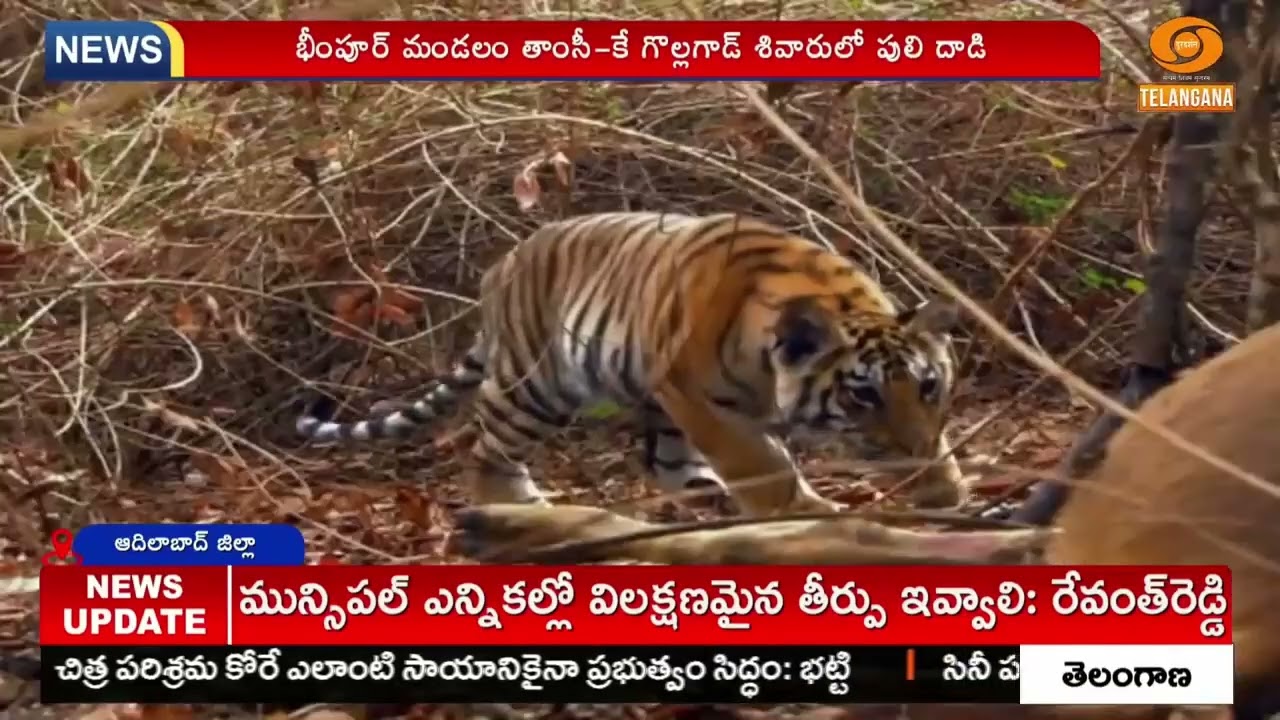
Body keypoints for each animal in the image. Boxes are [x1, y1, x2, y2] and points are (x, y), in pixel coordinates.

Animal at [295, 211, 968, 516]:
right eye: (862, 395)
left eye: (929, 386)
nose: (910, 451)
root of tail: (501, 266)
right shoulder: (703, 402)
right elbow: (763, 466)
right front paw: (806, 515)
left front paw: (945, 489)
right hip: (533, 386)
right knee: (487, 450)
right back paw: (523, 513)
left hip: (651, 409)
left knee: (668, 467)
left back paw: (706, 503)